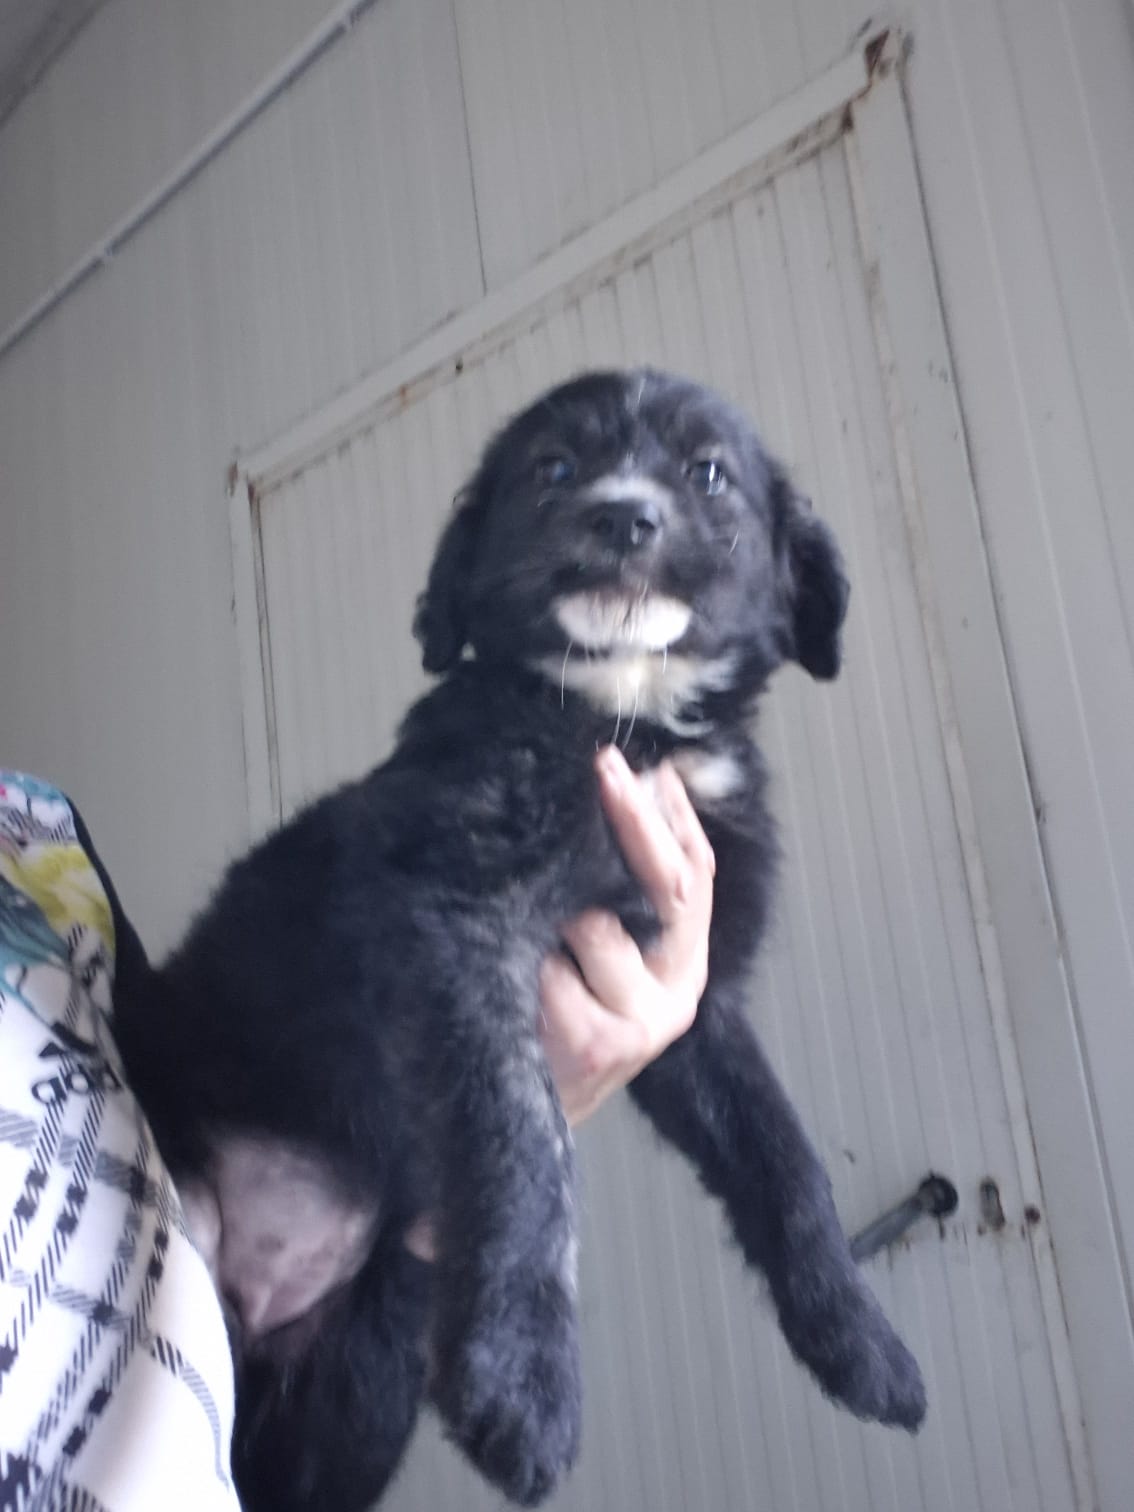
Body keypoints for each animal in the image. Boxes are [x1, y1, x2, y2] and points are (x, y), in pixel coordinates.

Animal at [114, 369, 926, 1511]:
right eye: (553, 466)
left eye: (708, 472)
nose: (622, 516)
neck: (625, 726)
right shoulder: (462, 921)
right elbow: (525, 1138)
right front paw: (525, 1380)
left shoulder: (689, 1000)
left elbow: (784, 1156)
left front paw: (864, 1346)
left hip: (359, 1376)